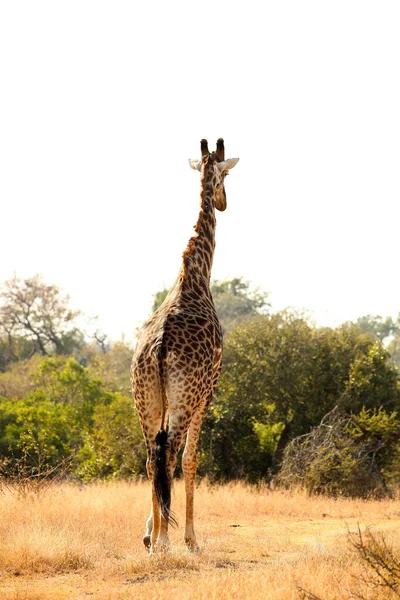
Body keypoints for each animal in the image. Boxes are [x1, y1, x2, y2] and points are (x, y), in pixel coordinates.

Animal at [130, 138, 238, 552]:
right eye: (226, 176)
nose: (224, 202)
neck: (195, 275)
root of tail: (160, 347)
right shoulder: (209, 388)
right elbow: (192, 459)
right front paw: (191, 539)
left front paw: (148, 531)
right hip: (184, 398)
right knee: (172, 455)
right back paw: (166, 542)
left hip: (145, 398)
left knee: (151, 458)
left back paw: (156, 538)